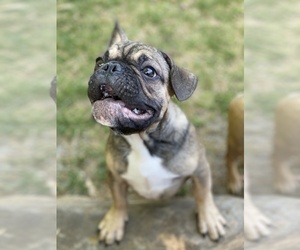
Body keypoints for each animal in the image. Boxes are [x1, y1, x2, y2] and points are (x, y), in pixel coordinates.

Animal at [88, 23, 226, 244]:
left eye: (149, 71)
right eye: (99, 61)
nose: (109, 67)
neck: (141, 139)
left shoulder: (200, 169)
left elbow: (204, 194)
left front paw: (210, 218)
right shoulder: (115, 176)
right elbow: (118, 199)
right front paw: (114, 222)